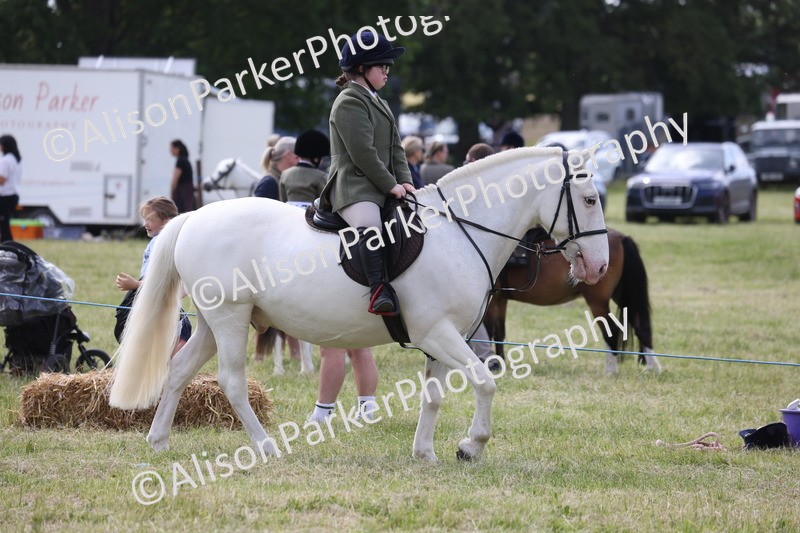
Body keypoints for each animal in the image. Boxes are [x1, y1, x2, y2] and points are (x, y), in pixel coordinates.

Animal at [109, 147, 609, 462]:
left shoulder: (442, 339)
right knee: (232, 382)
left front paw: (425, 452)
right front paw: (471, 446)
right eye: (589, 199)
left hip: (213, 322)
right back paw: (266, 448)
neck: (459, 230)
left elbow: (433, 395)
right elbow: (486, 383)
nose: (599, 266)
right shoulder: (438, 334)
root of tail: (193, 217)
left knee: (178, 370)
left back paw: (159, 441)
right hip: (230, 318)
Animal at [483, 228, 662, 375]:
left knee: (611, 330)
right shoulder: (500, 299)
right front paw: (500, 362)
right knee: (641, 325)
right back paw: (653, 367)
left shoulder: (490, 302)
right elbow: (499, 332)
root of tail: (622, 238)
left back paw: (611, 370)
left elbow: (489, 330)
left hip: (597, 302)